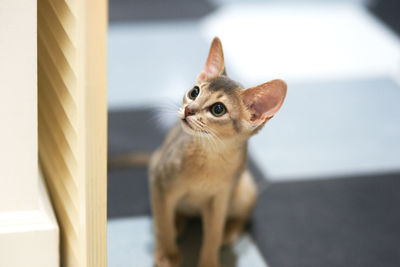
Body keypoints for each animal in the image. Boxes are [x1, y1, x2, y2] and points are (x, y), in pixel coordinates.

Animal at [148, 37, 286, 267]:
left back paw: (229, 232)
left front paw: (209, 261)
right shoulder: (159, 181)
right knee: (169, 214)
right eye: (194, 92)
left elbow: (212, 235)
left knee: (242, 218)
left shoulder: (220, 200)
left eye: (218, 109)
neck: (209, 157)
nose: (188, 110)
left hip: (245, 188)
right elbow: (163, 223)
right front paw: (168, 254)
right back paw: (177, 223)